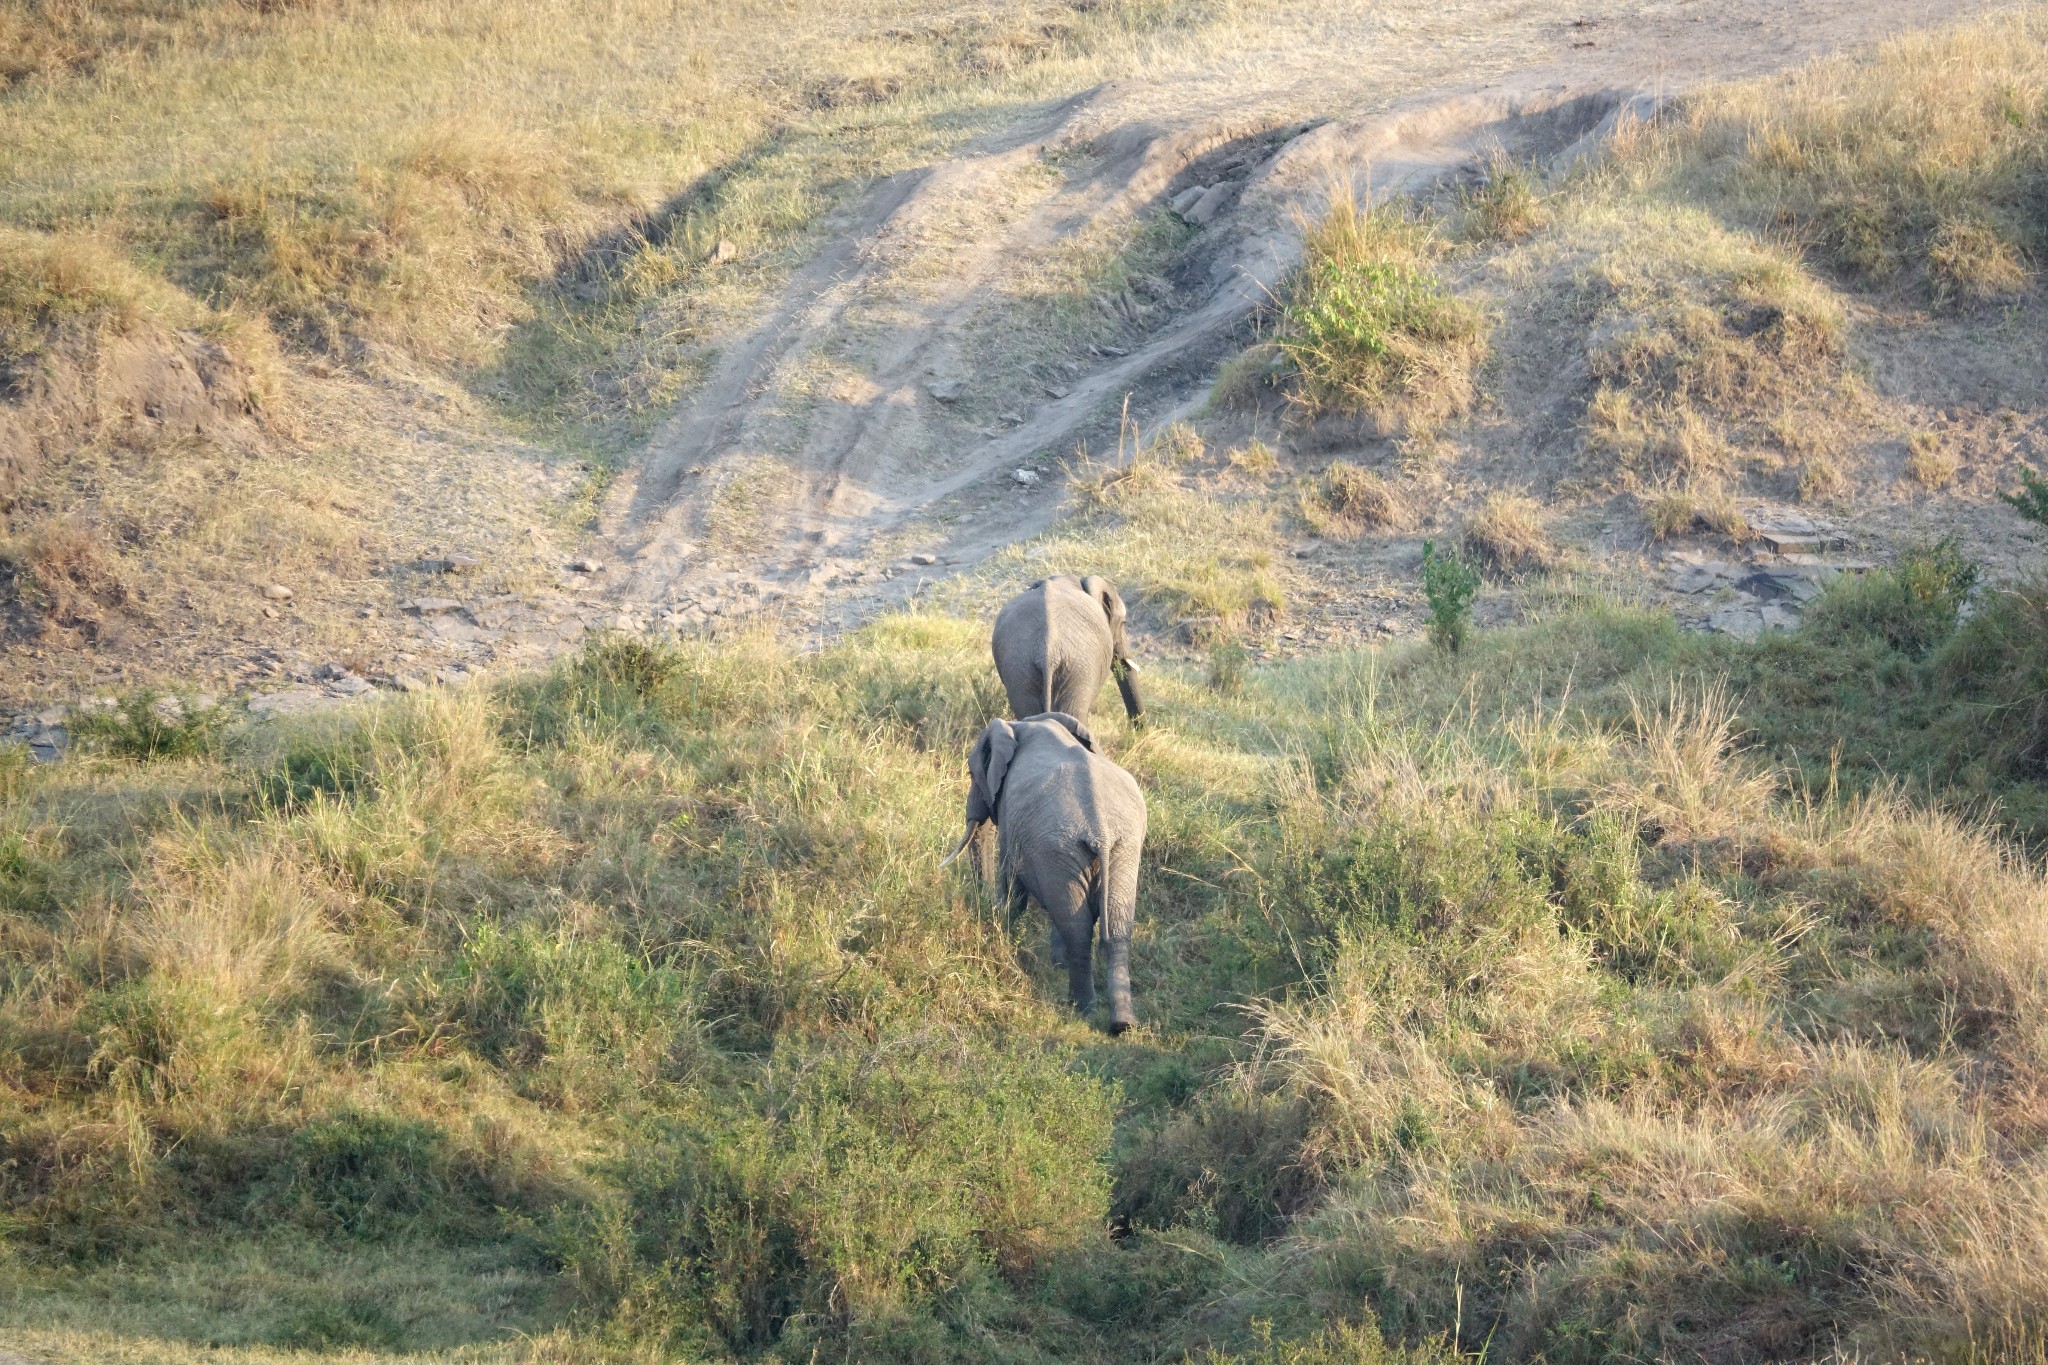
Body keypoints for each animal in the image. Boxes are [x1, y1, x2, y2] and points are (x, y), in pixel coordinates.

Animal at [946, 712, 1155, 1031]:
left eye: (972, 774)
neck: (1026, 725)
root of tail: (1101, 830)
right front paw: (1056, 963)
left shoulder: (1011, 815)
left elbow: (1014, 886)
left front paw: (1002, 926)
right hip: (1121, 849)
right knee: (1116, 926)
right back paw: (1123, 1024)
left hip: (1062, 847)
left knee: (1078, 929)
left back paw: (1083, 1009)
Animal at [987, 573, 1138, 732]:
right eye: (1123, 623)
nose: (1136, 729)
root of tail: (1047, 655)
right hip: (1079, 669)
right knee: (1075, 715)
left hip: (1020, 670)